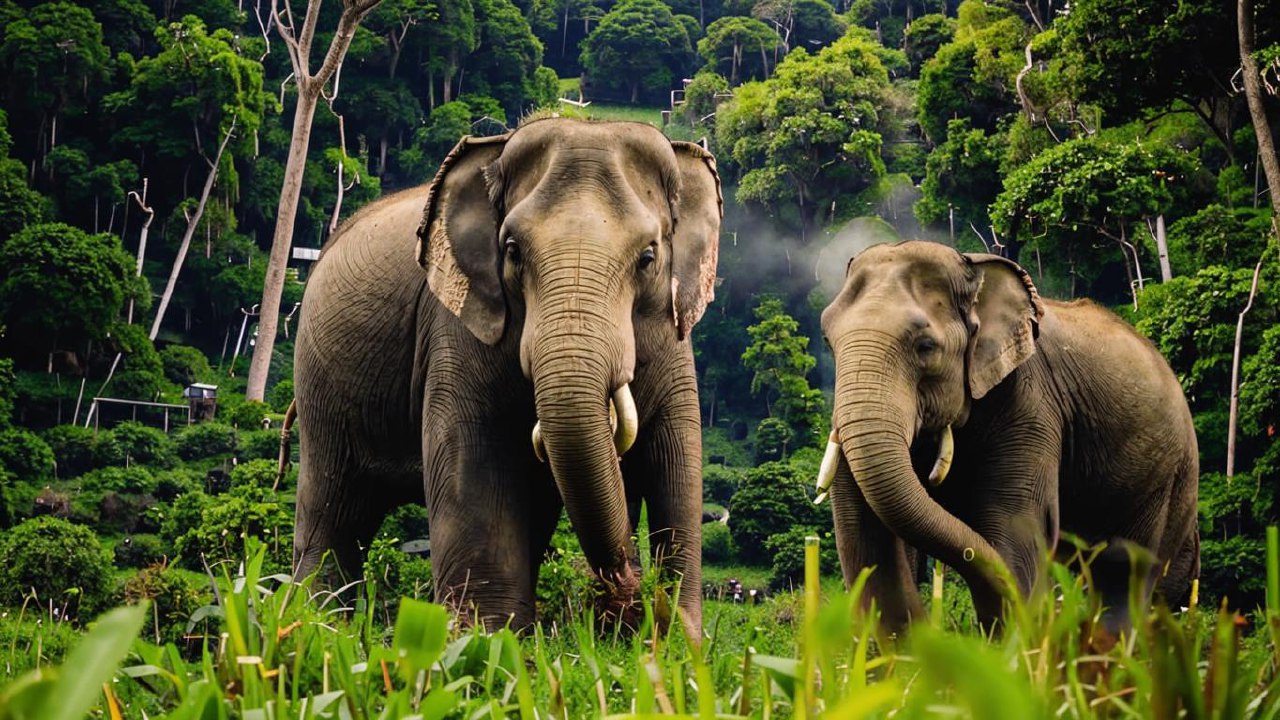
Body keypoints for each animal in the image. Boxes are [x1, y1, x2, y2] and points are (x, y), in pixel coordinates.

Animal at [291, 118, 722, 635]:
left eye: (648, 258)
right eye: (513, 251)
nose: (626, 588)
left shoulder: (675, 336)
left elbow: (675, 468)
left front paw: (678, 636)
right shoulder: (455, 329)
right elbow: (476, 464)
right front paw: (486, 640)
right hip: (318, 381)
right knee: (334, 511)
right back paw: (315, 624)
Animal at [814, 240, 1199, 633]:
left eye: (925, 346)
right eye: (828, 342)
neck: (975, 270)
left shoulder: (1031, 403)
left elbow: (1014, 528)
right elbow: (873, 537)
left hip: (1169, 475)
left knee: (1126, 572)